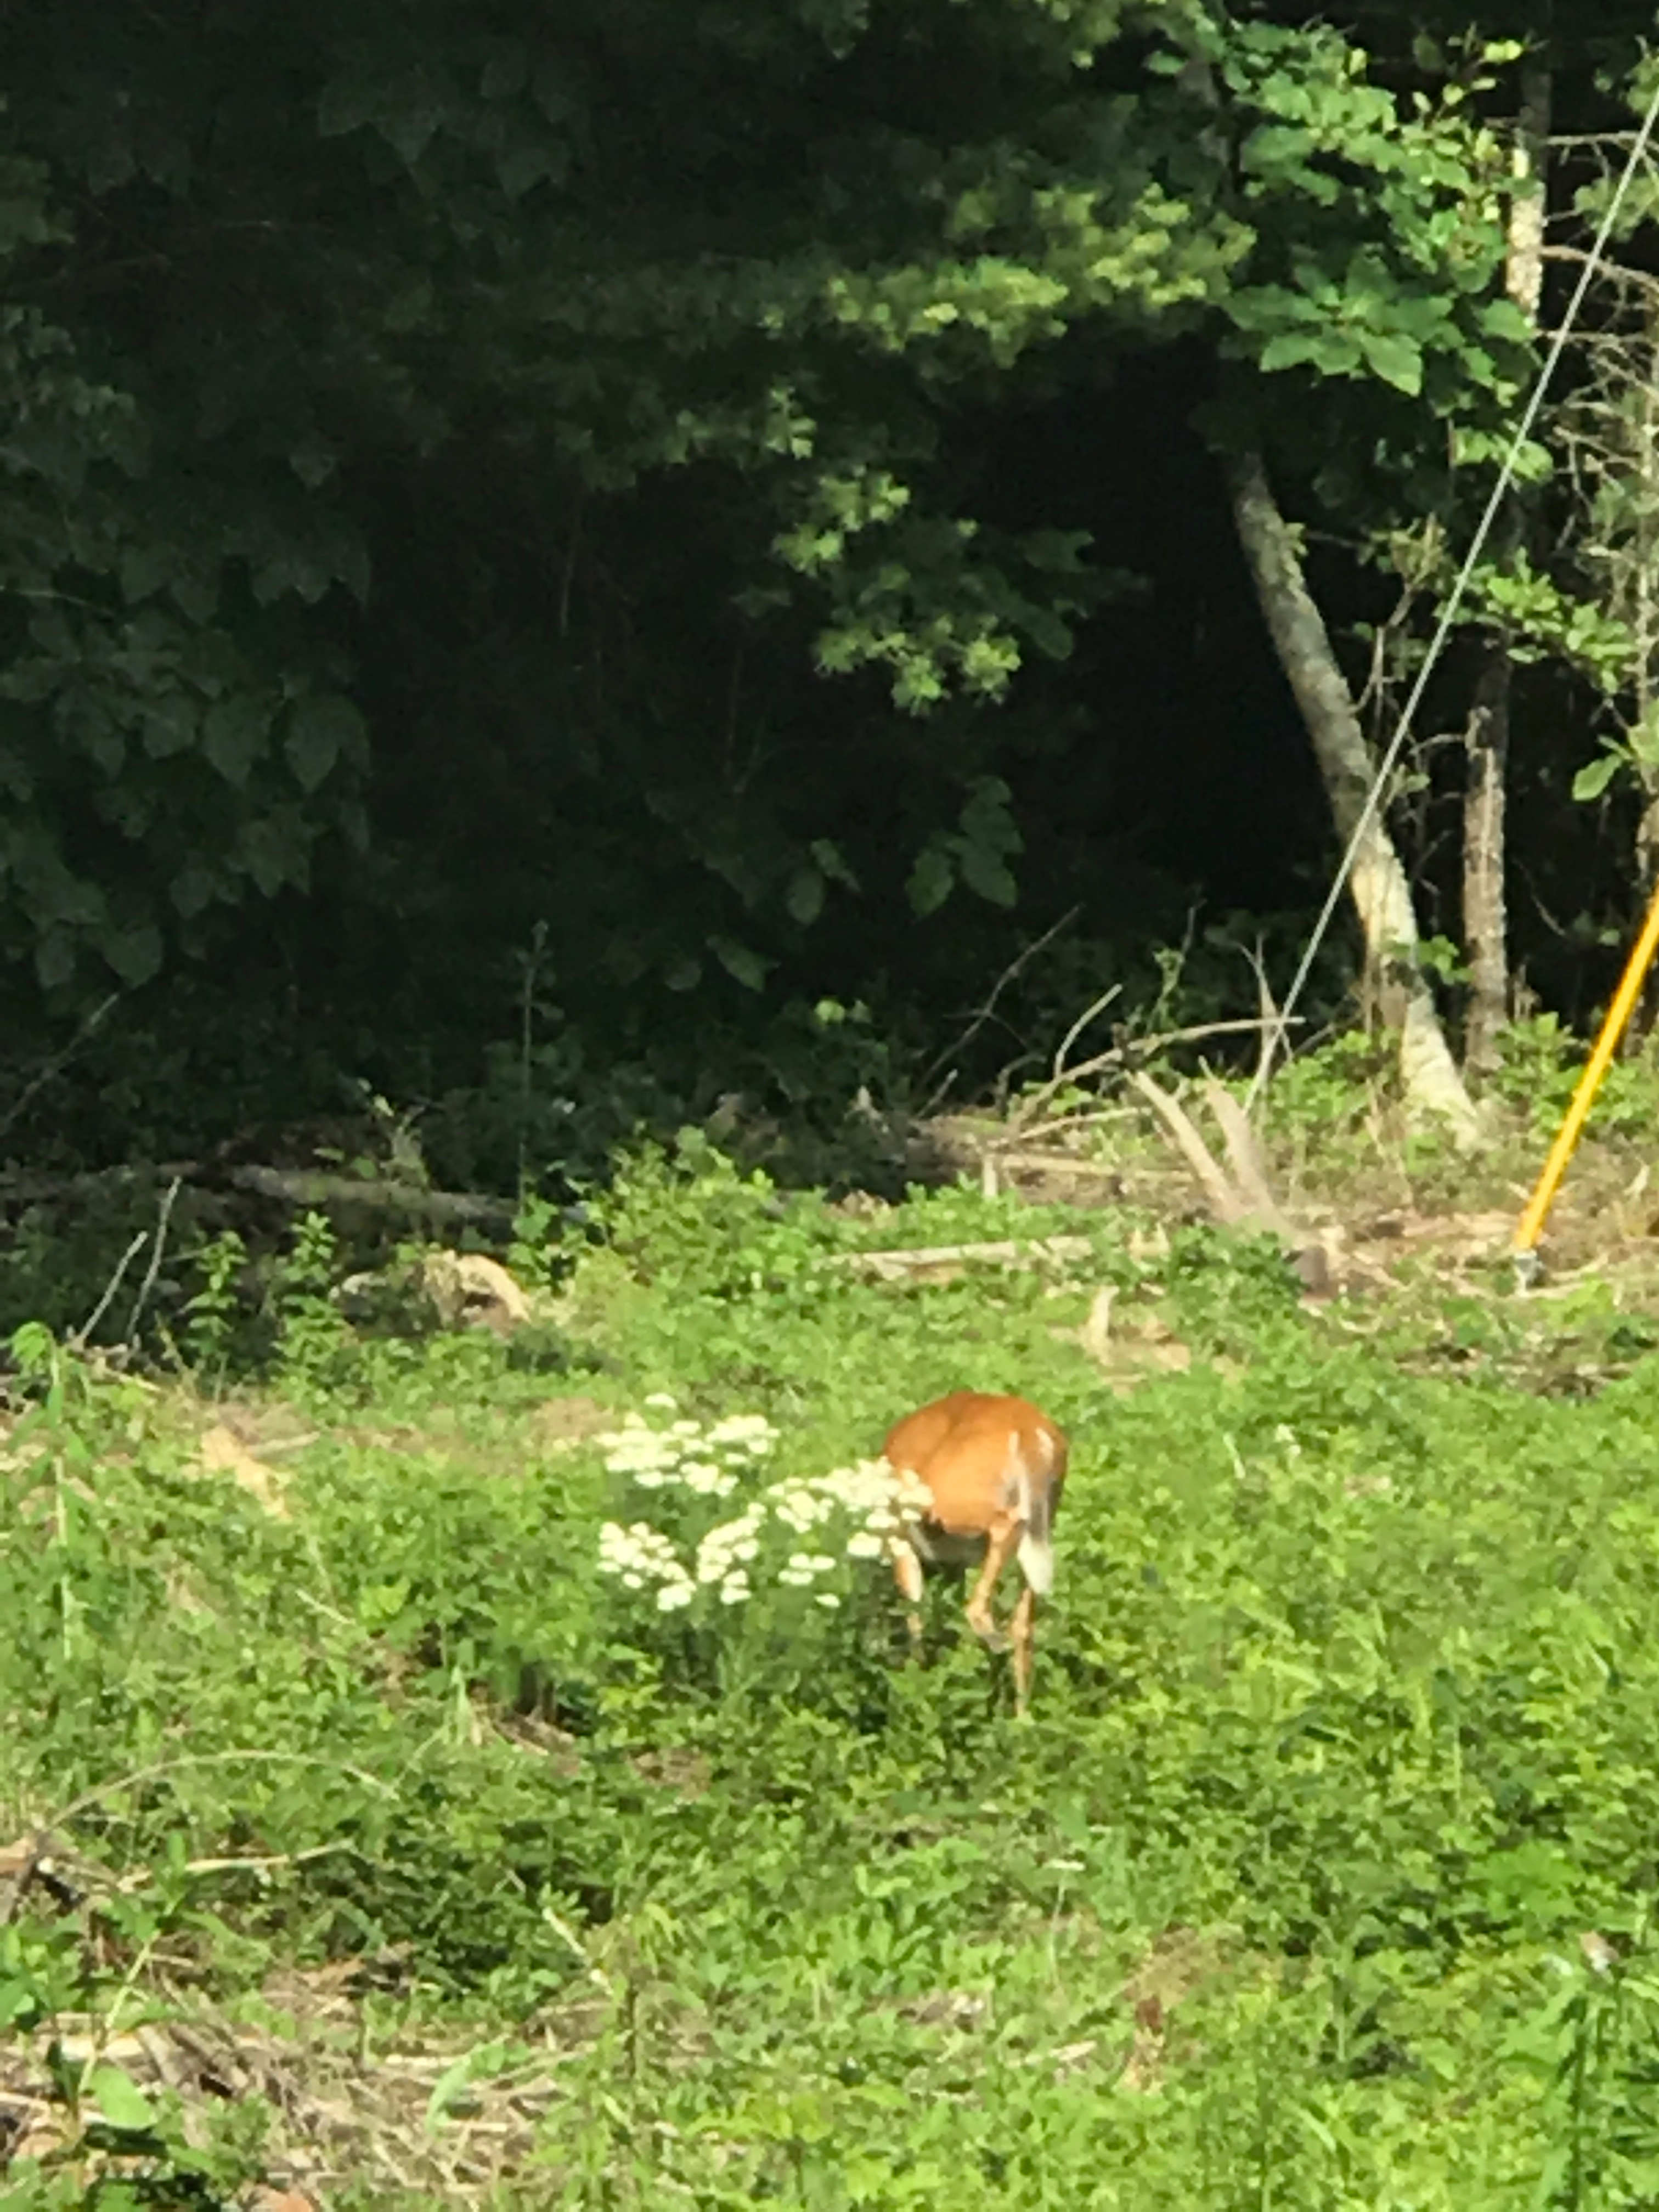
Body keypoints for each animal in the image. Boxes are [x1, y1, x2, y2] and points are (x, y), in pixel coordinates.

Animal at [881, 1391, 1068, 1715]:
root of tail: (1028, 1431)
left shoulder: (905, 1546)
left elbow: (915, 1614)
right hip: (1044, 1523)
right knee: (1023, 1623)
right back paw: (1021, 1718)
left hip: (957, 1509)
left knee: (979, 1606)